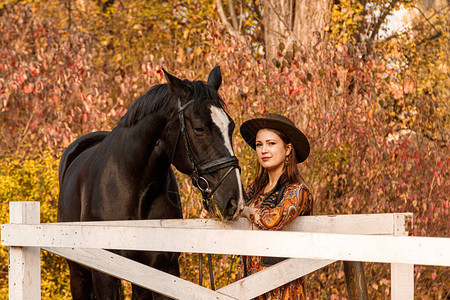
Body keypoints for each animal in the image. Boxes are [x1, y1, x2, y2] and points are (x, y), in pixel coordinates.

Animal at [58, 67, 246, 298]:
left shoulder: (162, 269)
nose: (235, 201)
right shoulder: (104, 276)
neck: (134, 188)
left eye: (231, 126)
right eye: (199, 128)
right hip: (79, 274)